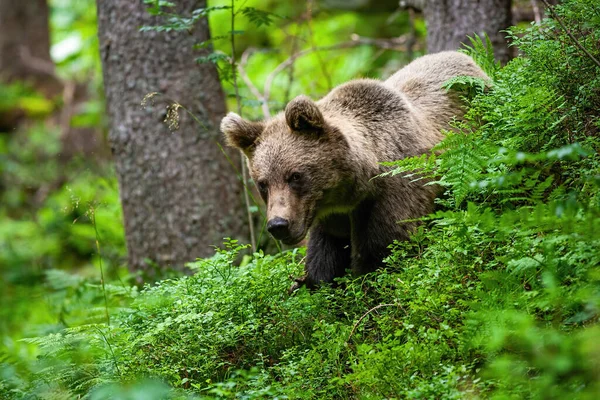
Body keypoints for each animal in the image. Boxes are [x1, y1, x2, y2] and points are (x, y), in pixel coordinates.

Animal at [220, 51, 488, 290]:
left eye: (295, 176)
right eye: (262, 183)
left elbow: (383, 253)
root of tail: (466, 57)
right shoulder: (329, 221)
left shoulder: (392, 195)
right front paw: (312, 283)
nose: (278, 224)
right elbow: (324, 264)